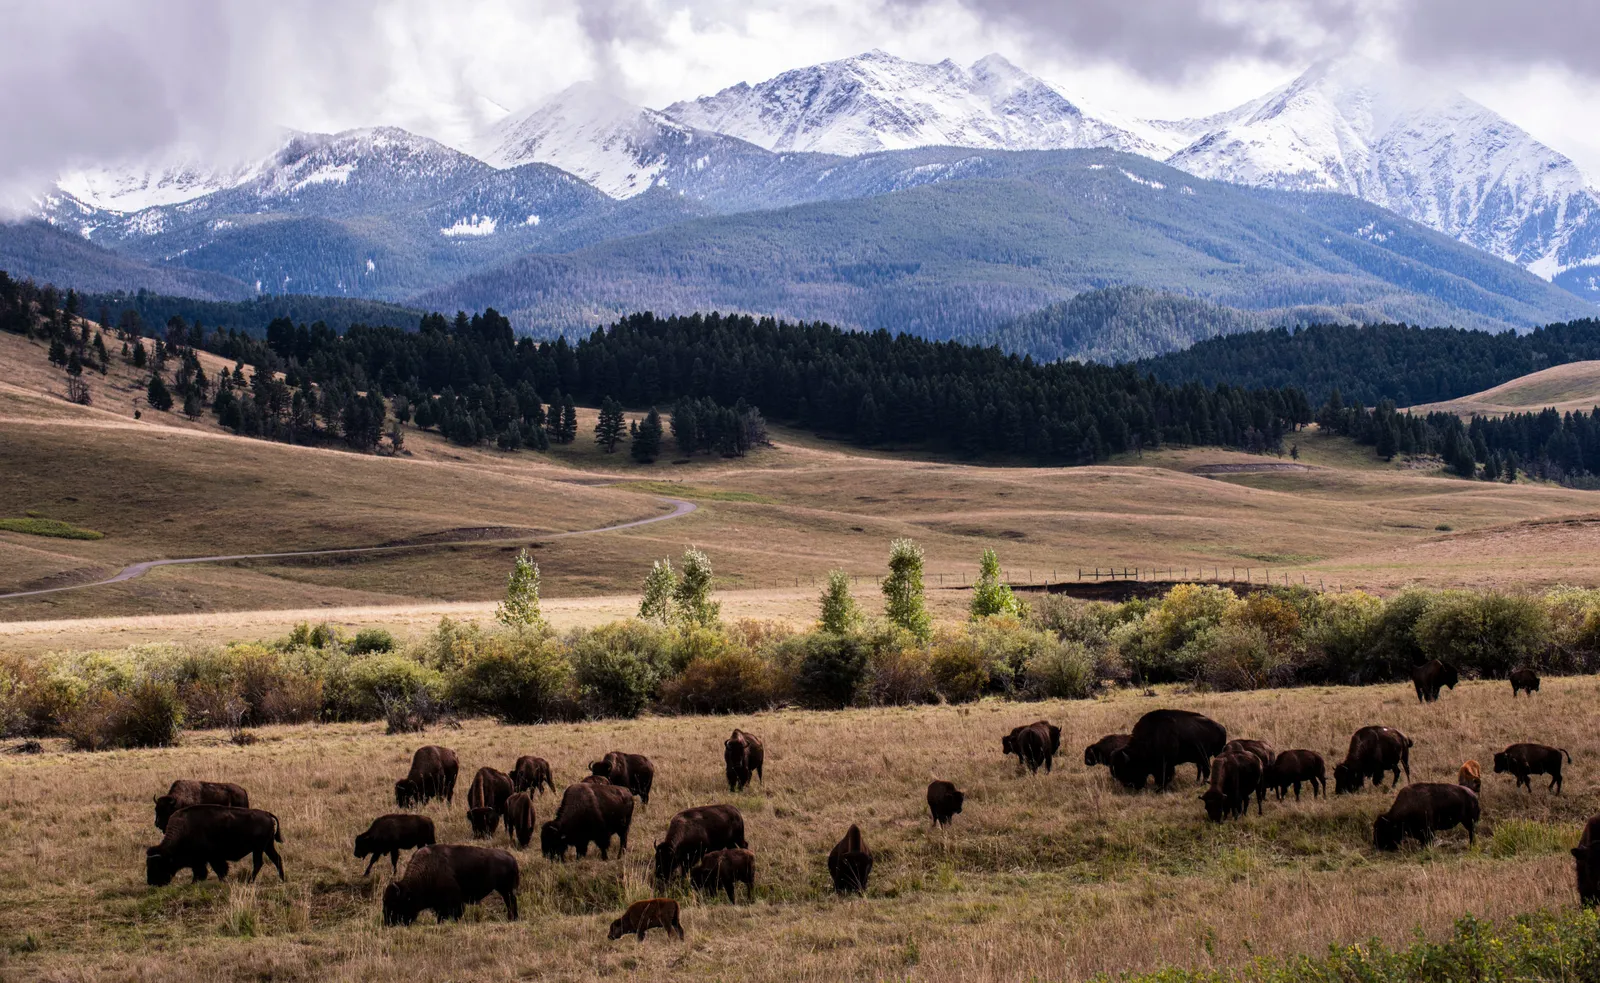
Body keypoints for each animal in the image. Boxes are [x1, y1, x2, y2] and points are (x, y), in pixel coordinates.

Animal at [146, 803, 281, 890]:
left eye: (158, 864)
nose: (151, 882)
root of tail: (267, 814)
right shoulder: (205, 860)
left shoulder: (209, 859)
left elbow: (213, 870)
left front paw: (194, 883)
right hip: (267, 846)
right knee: (276, 859)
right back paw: (282, 879)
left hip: (259, 848)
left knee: (258, 863)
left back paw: (250, 881)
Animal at [380, 845, 518, 928]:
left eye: (395, 903)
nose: (388, 923)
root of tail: (511, 857)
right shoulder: (439, 905)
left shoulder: (452, 902)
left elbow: (453, 913)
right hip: (504, 889)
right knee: (510, 901)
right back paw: (512, 918)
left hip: (506, 889)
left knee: (511, 901)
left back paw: (513, 918)